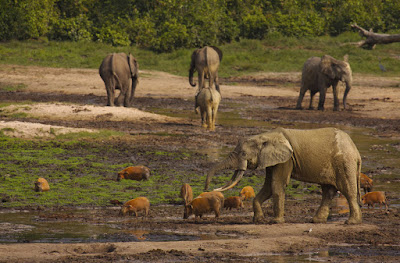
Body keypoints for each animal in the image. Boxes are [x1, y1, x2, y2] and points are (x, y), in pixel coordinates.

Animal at [205, 128, 364, 225]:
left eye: (243, 154)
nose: (207, 189)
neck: (266, 135)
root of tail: (356, 151)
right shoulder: (272, 160)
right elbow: (268, 187)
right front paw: (258, 220)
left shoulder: (286, 160)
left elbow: (276, 184)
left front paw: (275, 222)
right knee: (328, 191)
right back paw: (316, 221)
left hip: (344, 162)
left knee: (347, 190)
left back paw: (351, 222)